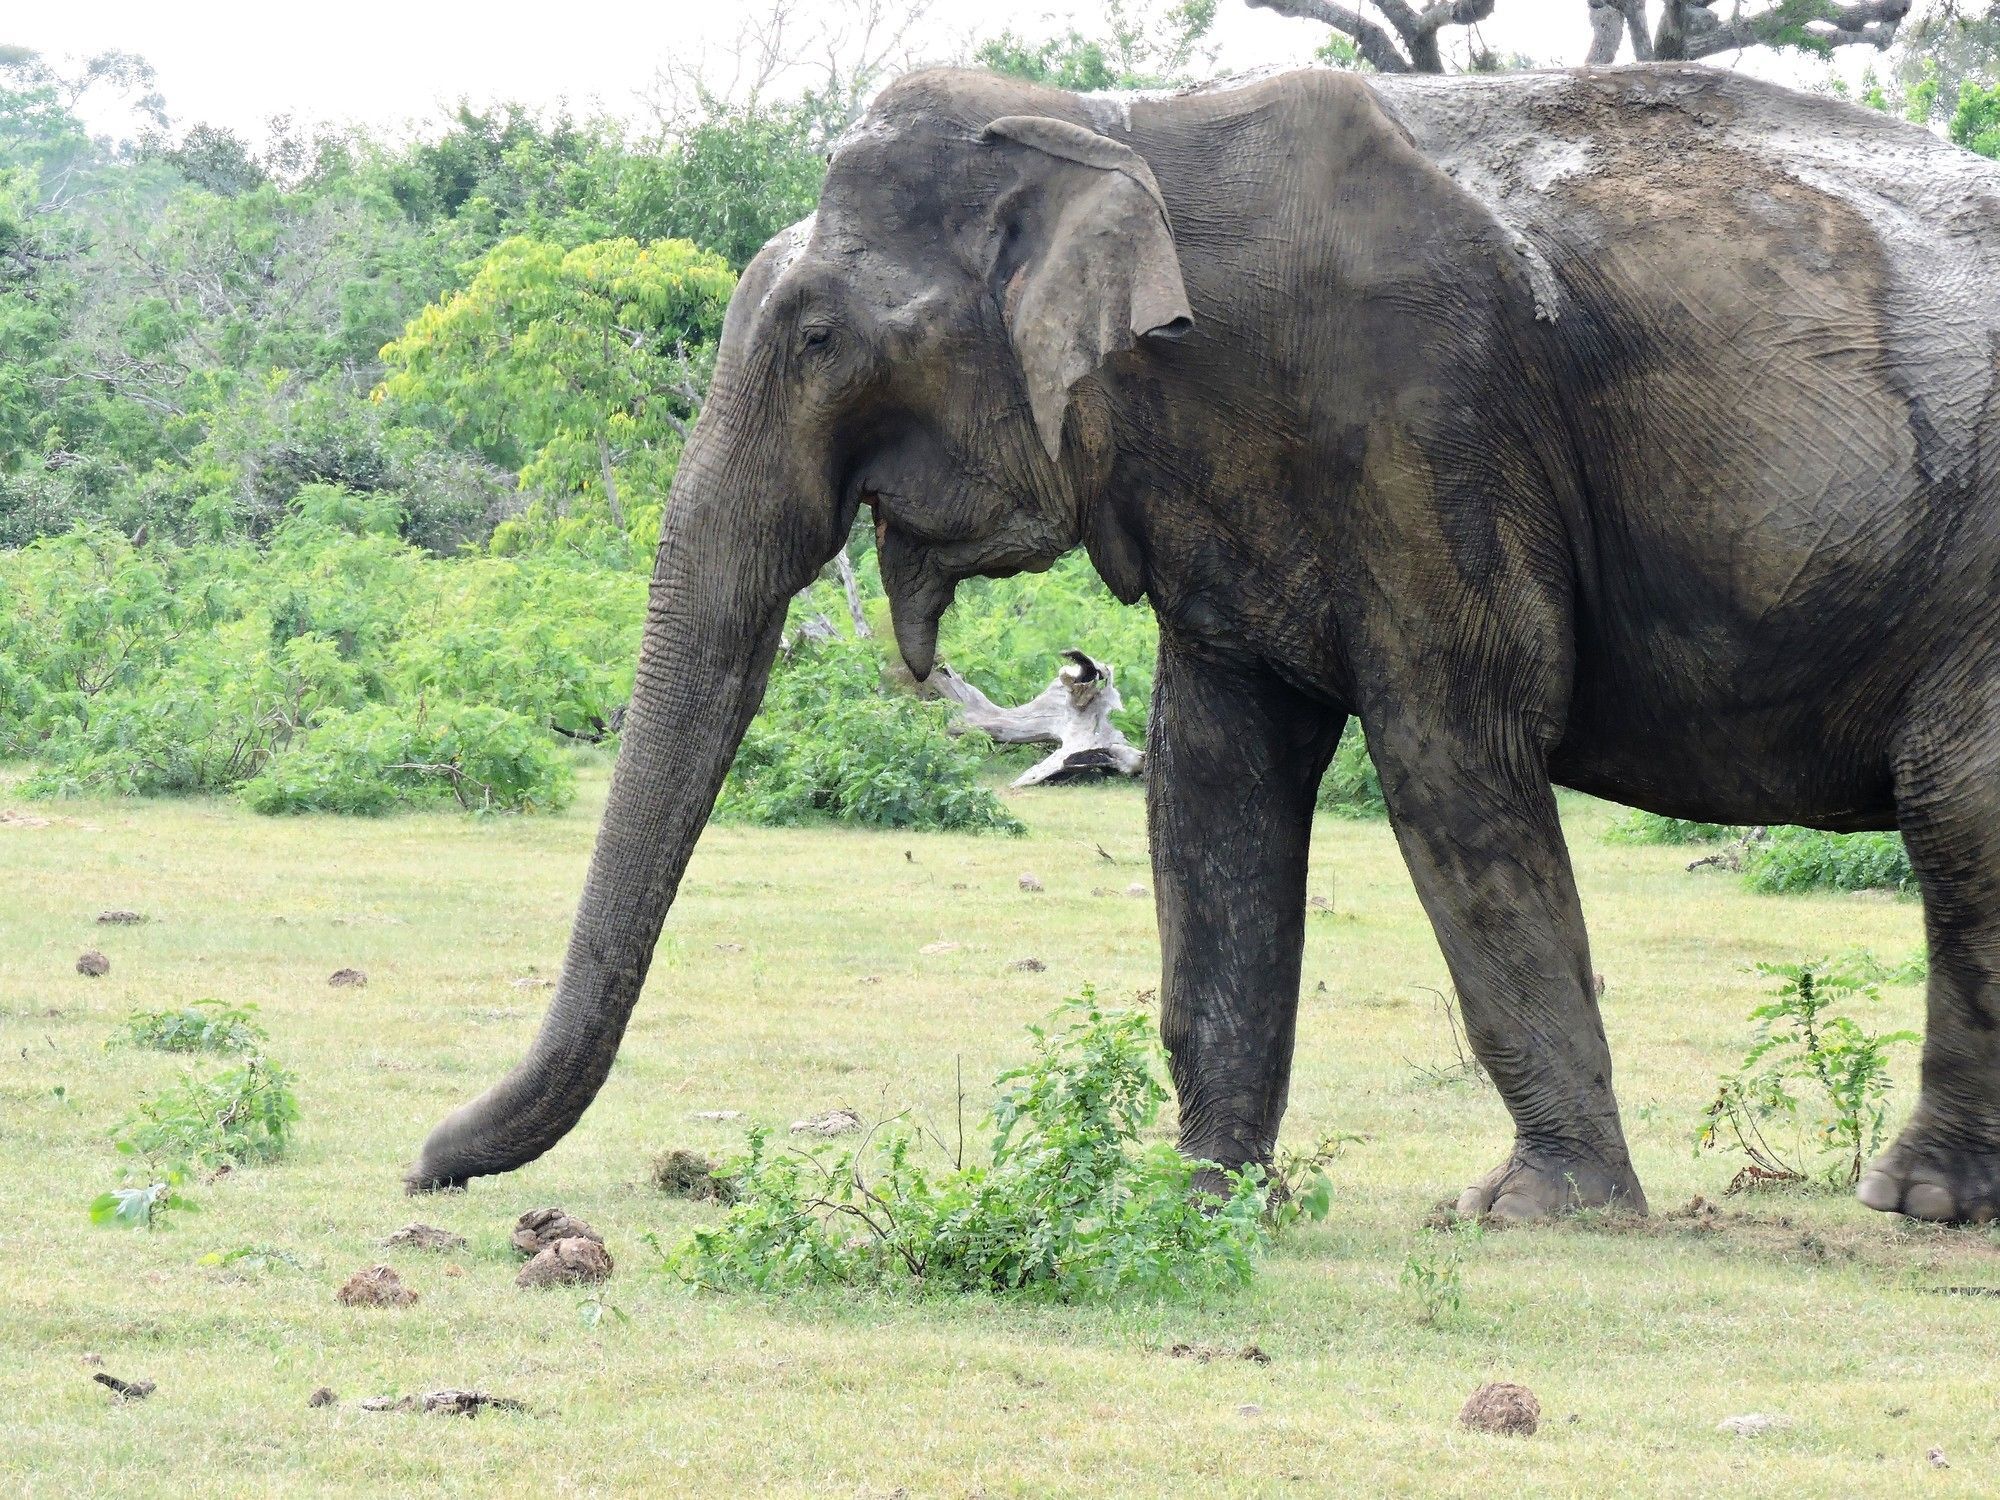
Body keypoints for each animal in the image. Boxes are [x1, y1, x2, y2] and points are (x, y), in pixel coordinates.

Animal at [414, 64, 2000, 1224]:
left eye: (812, 340)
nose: (423, 1170)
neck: (1114, 127)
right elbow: (1213, 782)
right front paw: (1196, 1197)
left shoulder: (1422, 414)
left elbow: (1451, 752)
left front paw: (1539, 1214)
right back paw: (1930, 1206)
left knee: (1953, 806)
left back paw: (1913, 1205)